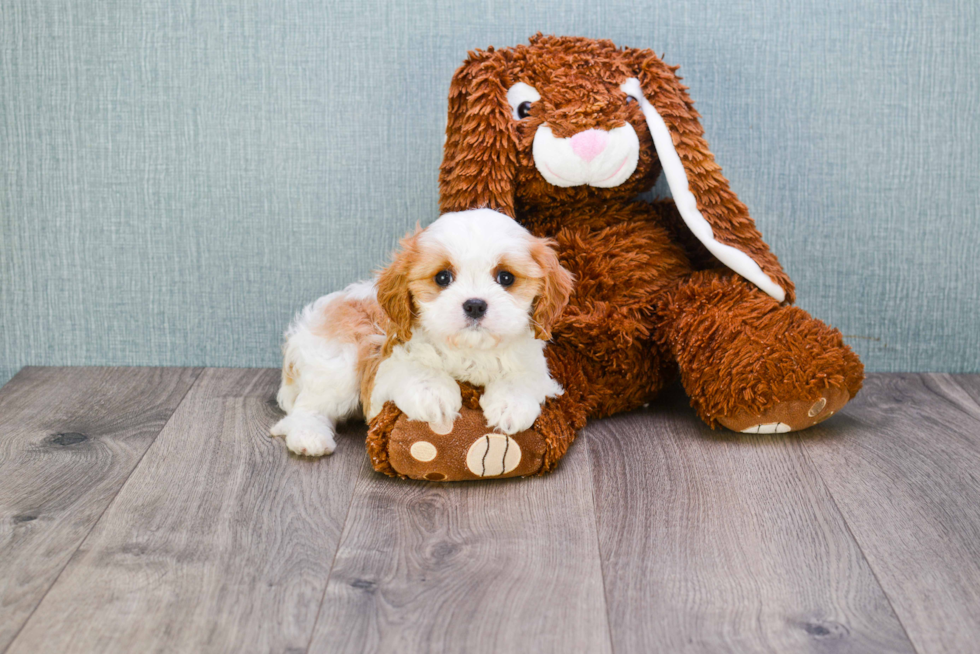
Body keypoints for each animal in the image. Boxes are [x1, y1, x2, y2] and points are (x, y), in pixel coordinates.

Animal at [270, 209, 576, 456]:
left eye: (506, 277)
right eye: (442, 277)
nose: (475, 305)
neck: (470, 351)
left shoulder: (536, 367)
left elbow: (522, 376)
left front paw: (510, 405)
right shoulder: (387, 362)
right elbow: (414, 369)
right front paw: (434, 394)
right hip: (336, 362)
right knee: (307, 408)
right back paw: (309, 437)